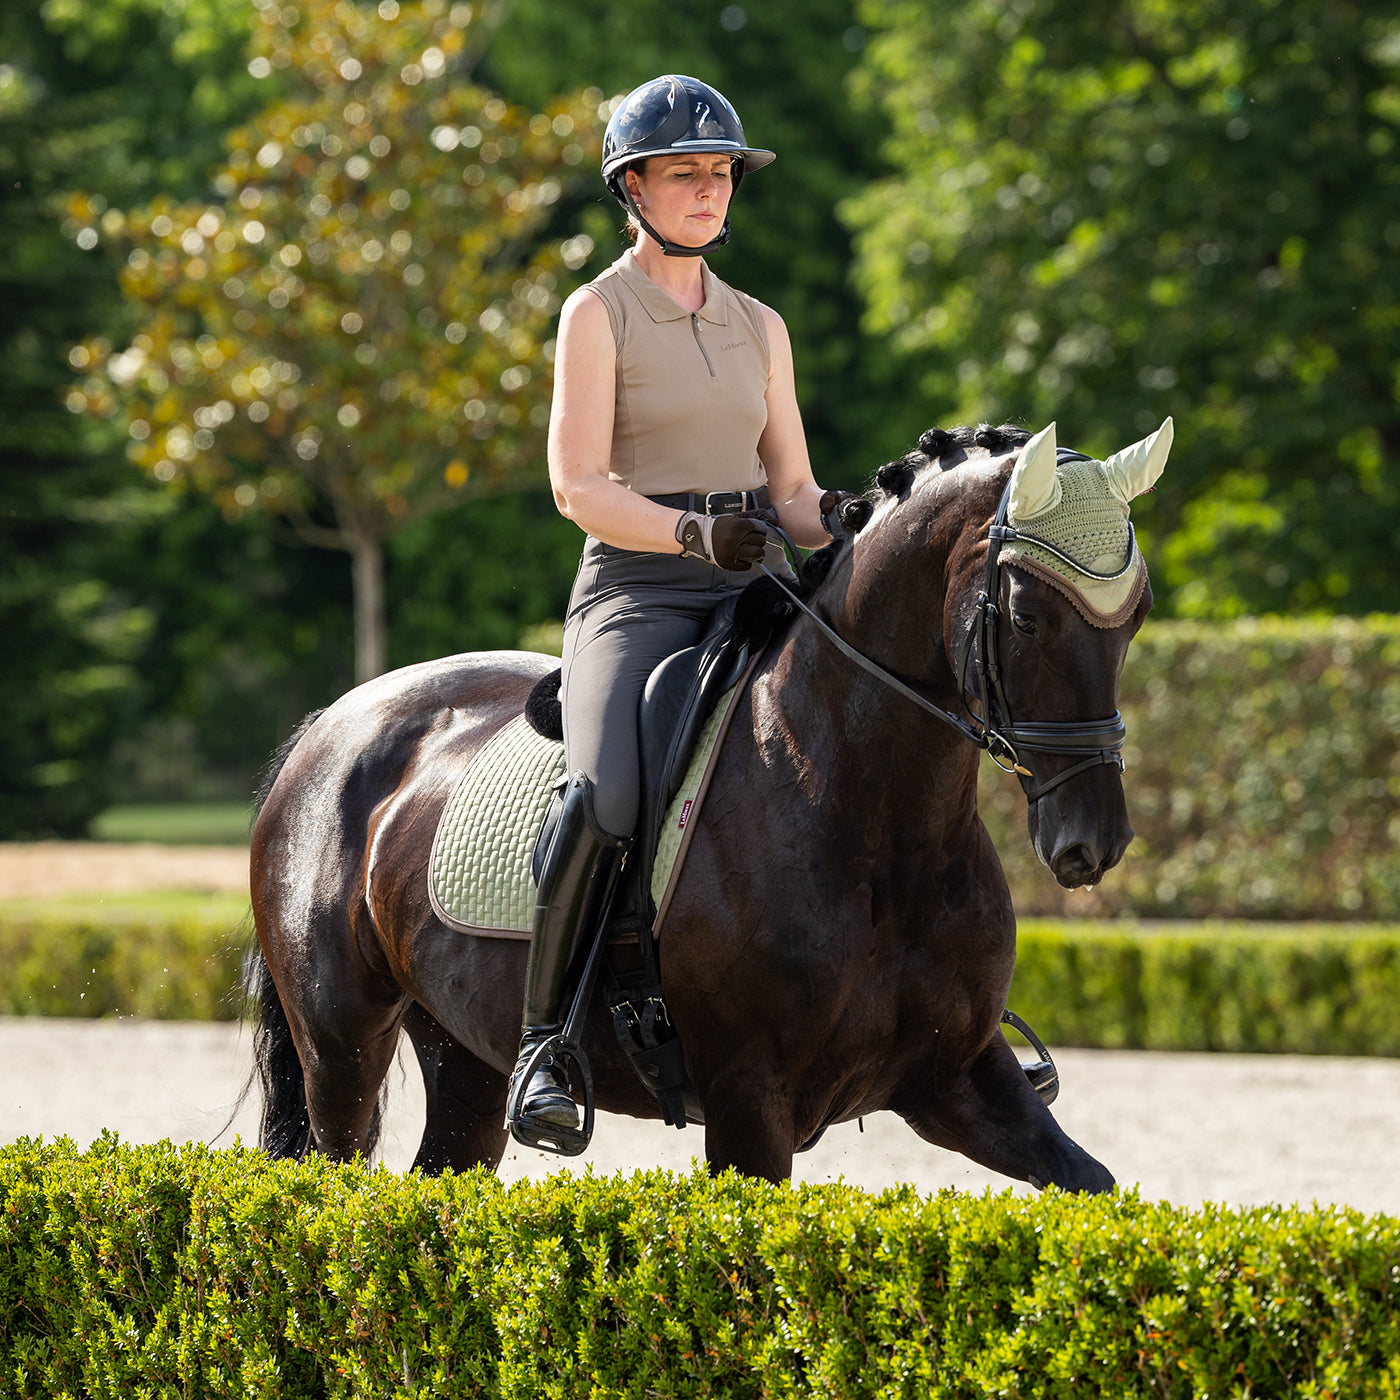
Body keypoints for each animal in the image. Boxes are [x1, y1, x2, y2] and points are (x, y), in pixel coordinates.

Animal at [249, 417, 1170, 1192]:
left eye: (1137, 618)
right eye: (1025, 615)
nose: (1093, 842)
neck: (877, 825)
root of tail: (330, 723)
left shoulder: (959, 1077)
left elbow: (1094, 1188)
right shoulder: (748, 1104)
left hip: (463, 1059)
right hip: (342, 1050)